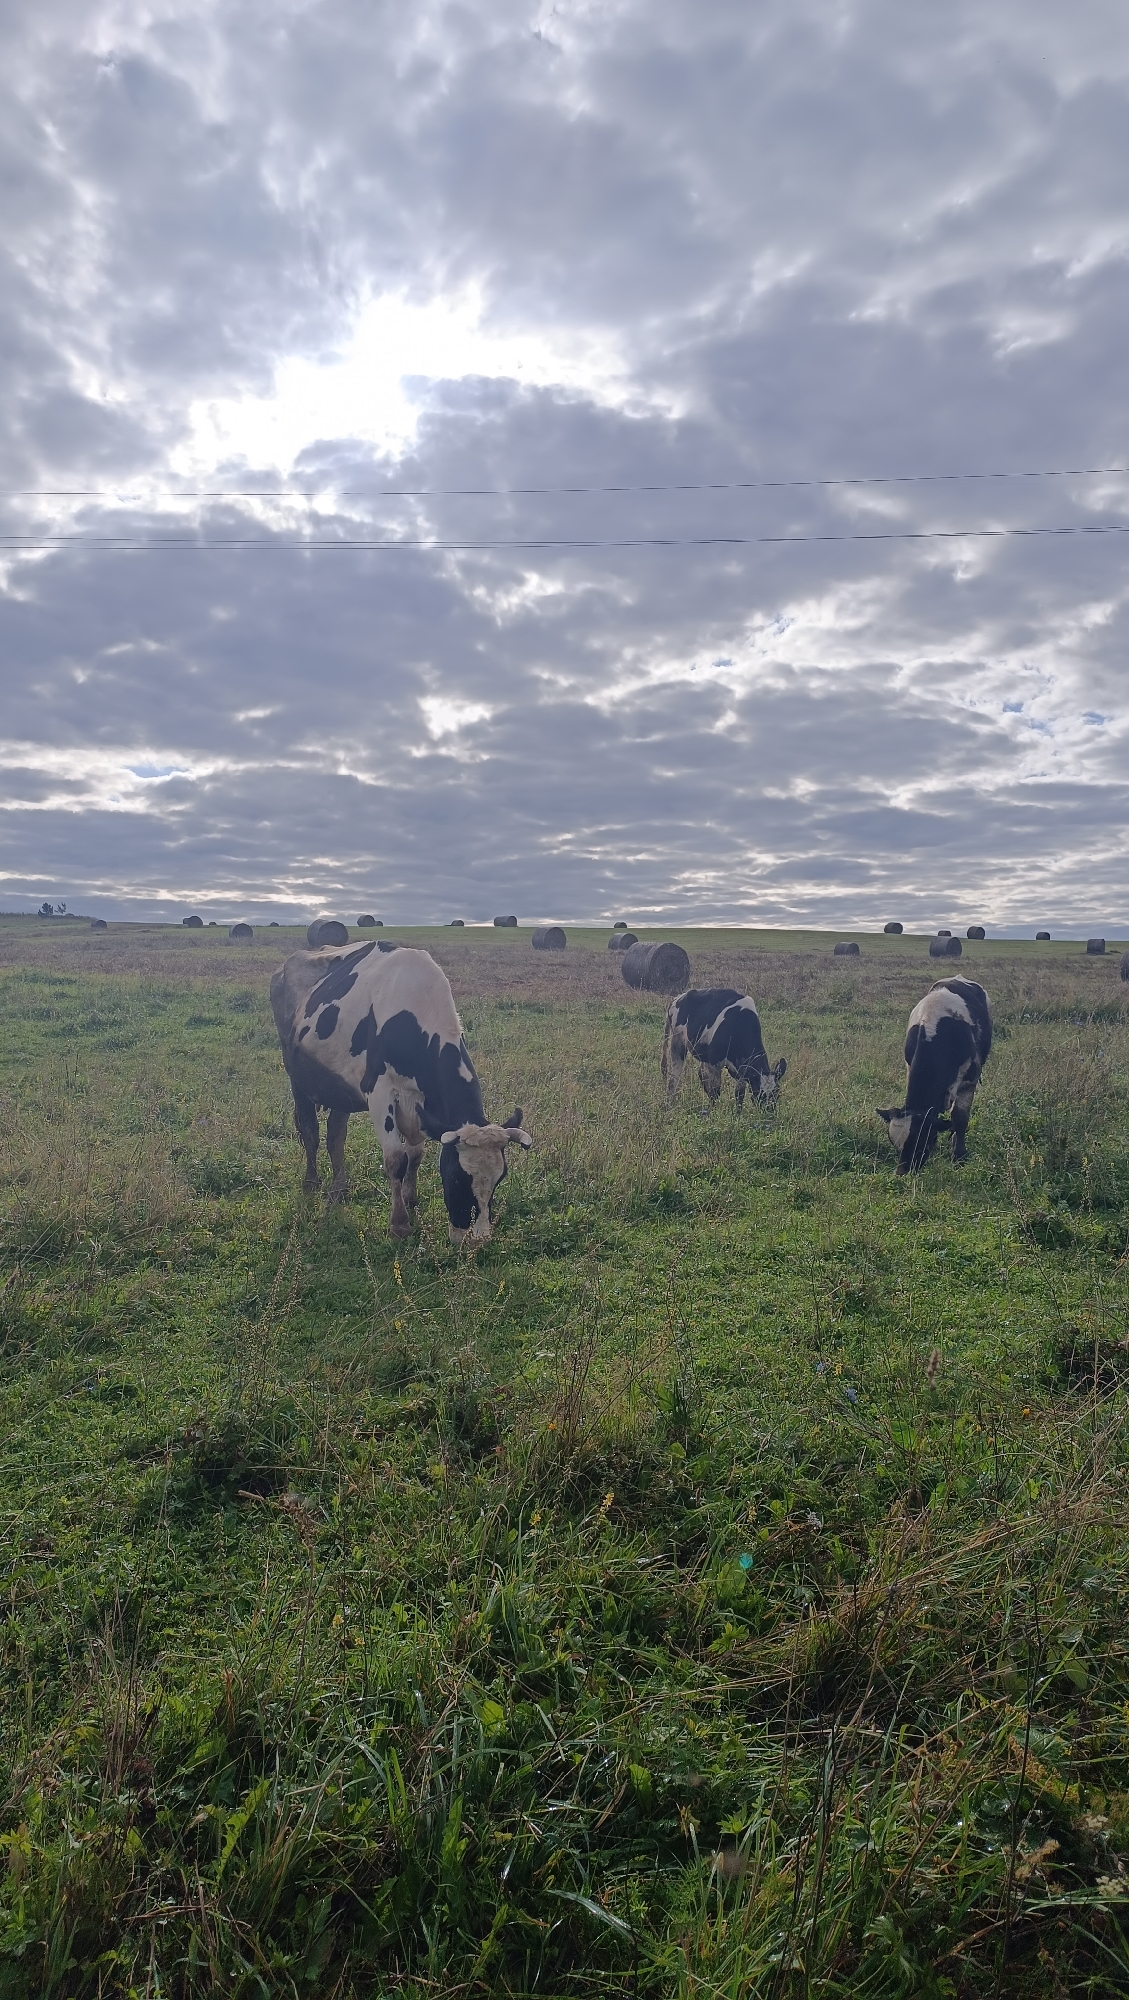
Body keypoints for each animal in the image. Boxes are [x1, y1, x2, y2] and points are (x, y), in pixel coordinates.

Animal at [270, 941, 531, 1243]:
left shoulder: (420, 1105)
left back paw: (339, 1189)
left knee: (335, 1135)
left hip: (339, 1089)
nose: (476, 1239)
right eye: (457, 1177)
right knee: (310, 1133)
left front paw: (410, 1199)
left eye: (500, 1178)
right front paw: (399, 1224)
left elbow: (414, 1156)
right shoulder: (380, 1092)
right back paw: (311, 1184)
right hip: (298, 1077)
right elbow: (396, 1159)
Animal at [876, 976, 992, 1174]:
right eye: (895, 1144)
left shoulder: (970, 1080)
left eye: (921, 1143)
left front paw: (959, 1156)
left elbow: (960, 1118)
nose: (902, 1173)